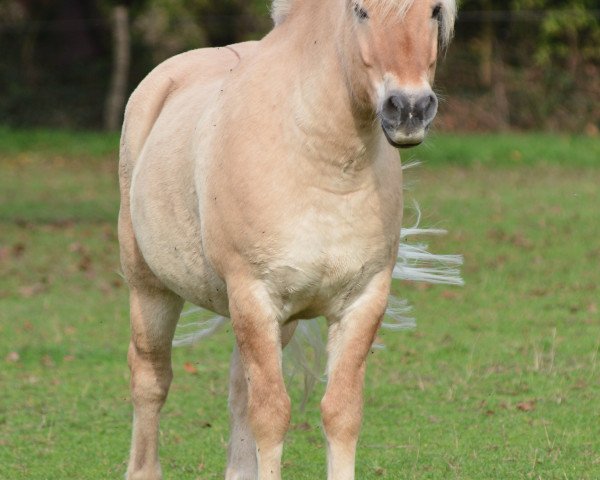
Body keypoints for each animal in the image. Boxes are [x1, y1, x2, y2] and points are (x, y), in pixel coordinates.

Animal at [120, 0, 460, 480]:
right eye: (360, 11)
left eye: (433, 11)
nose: (409, 109)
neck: (321, 163)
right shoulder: (253, 296)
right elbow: (272, 415)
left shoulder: (362, 301)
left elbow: (341, 412)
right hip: (150, 287)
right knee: (151, 380)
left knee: (238, 393)